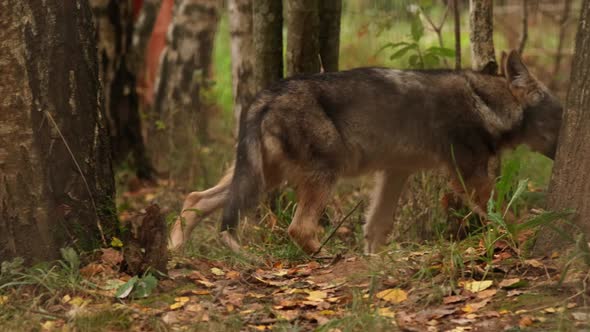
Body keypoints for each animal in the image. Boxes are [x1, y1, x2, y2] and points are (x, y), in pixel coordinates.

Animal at [168, 51, 564, 254]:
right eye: (561, 115)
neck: (487, 105)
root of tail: (265, 95)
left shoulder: (395, 172)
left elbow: (376, 226)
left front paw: (374, 261)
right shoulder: (470, 176)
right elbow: (503, 213)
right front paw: (523, 236)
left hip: (261, 178)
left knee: (195, 198)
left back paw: (174, 250)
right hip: (320, 175)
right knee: (298, 228)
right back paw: (325, 258)